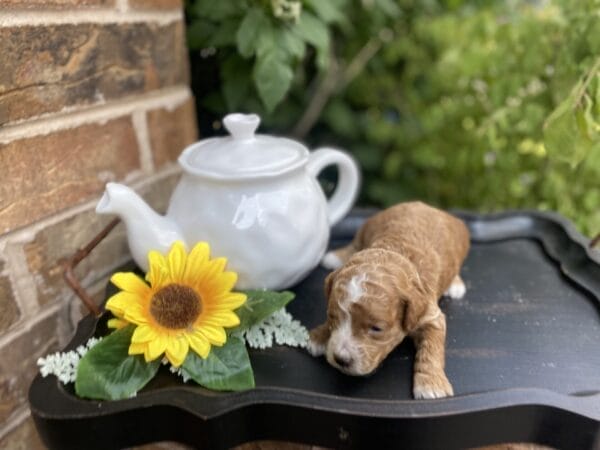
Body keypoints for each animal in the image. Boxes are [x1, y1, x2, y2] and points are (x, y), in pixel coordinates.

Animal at [310, 202, 468, 400]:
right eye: (332, 317)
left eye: (377, 329)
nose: (340, 359)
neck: (394, 250)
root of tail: (424, 205)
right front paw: (319, 336)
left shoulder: (431, 316)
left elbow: (431, 348)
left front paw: (431, 385)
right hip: (369, 224)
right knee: (356, 243)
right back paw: (335, 257)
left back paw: (455, 285)